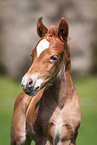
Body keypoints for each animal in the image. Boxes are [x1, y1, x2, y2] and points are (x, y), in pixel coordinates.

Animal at [11, 17, 80, 145]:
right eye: (32, 55)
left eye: (54, 57)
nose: (26, 83)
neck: (61, 105)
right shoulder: (44, 138)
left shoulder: (69, 139)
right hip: (18, 138)